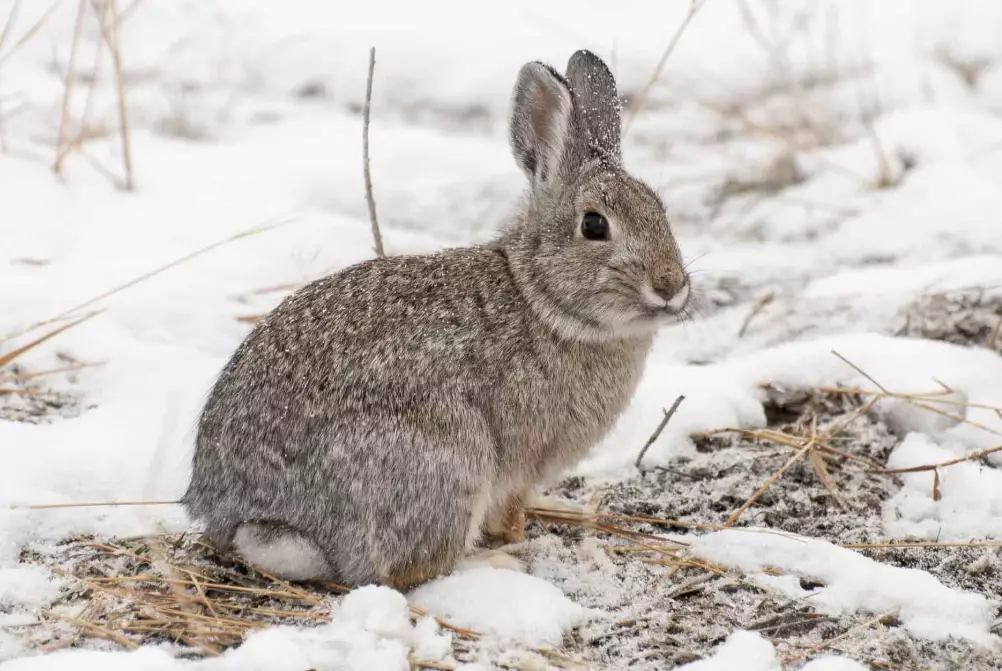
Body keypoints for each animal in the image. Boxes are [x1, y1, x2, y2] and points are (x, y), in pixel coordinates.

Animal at [182, 49, 691, 589]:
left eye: (660, 211)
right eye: (594, 225)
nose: (671, 285)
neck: (539, 297)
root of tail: (256, 518)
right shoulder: (517, 466)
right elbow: (508, 513)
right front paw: (518, 539)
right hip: (447, 461)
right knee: (406, 571)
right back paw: (497, 563)